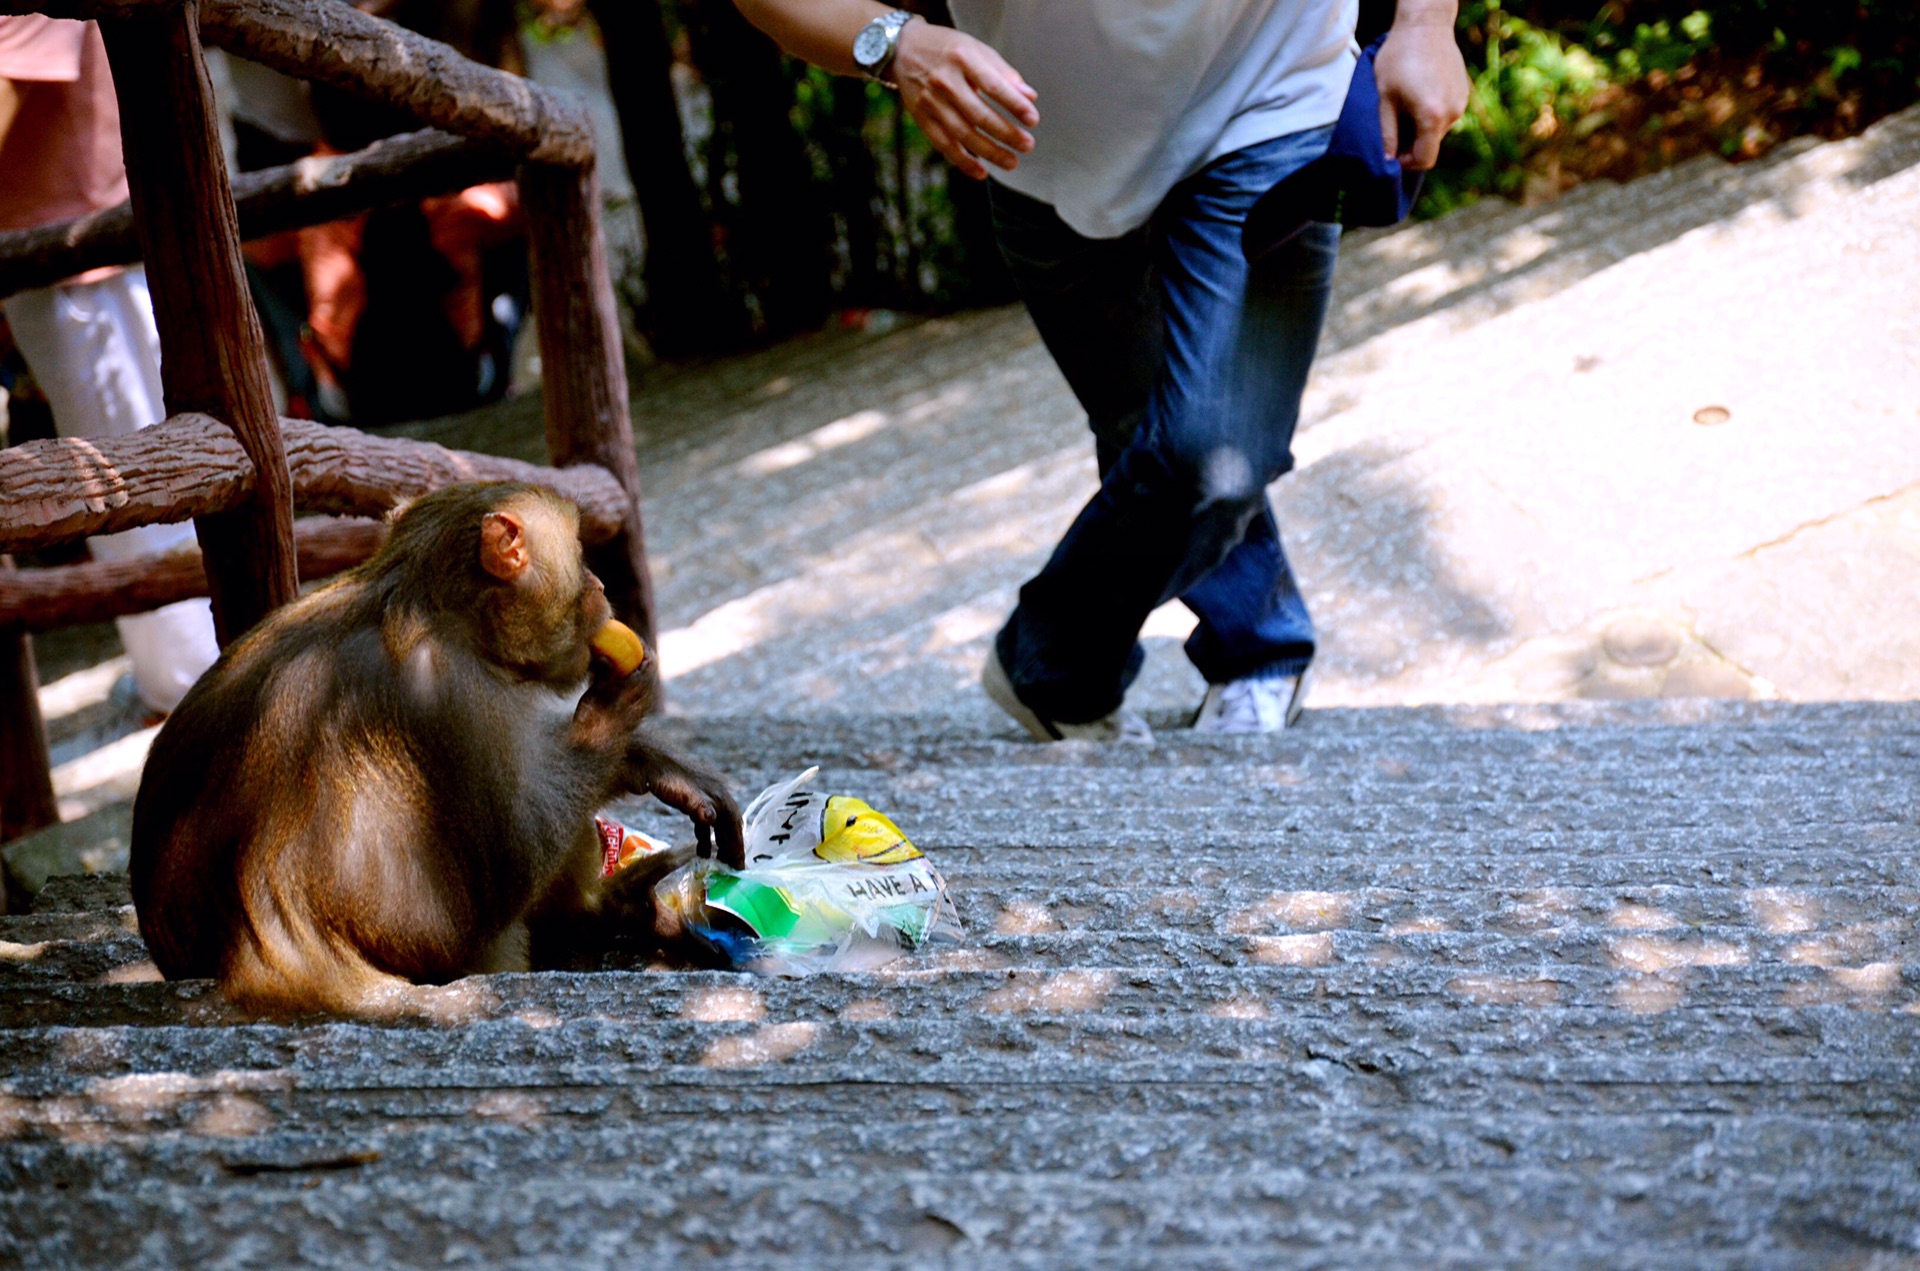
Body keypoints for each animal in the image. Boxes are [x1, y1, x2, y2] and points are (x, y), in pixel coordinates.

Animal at [127, 483, 741, 1021]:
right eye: (581, 555)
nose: (600, 583)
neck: (432, 607)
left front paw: (652, 762)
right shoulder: (447, 697)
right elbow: (500, 867)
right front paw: (617, 729)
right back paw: (605, 910)